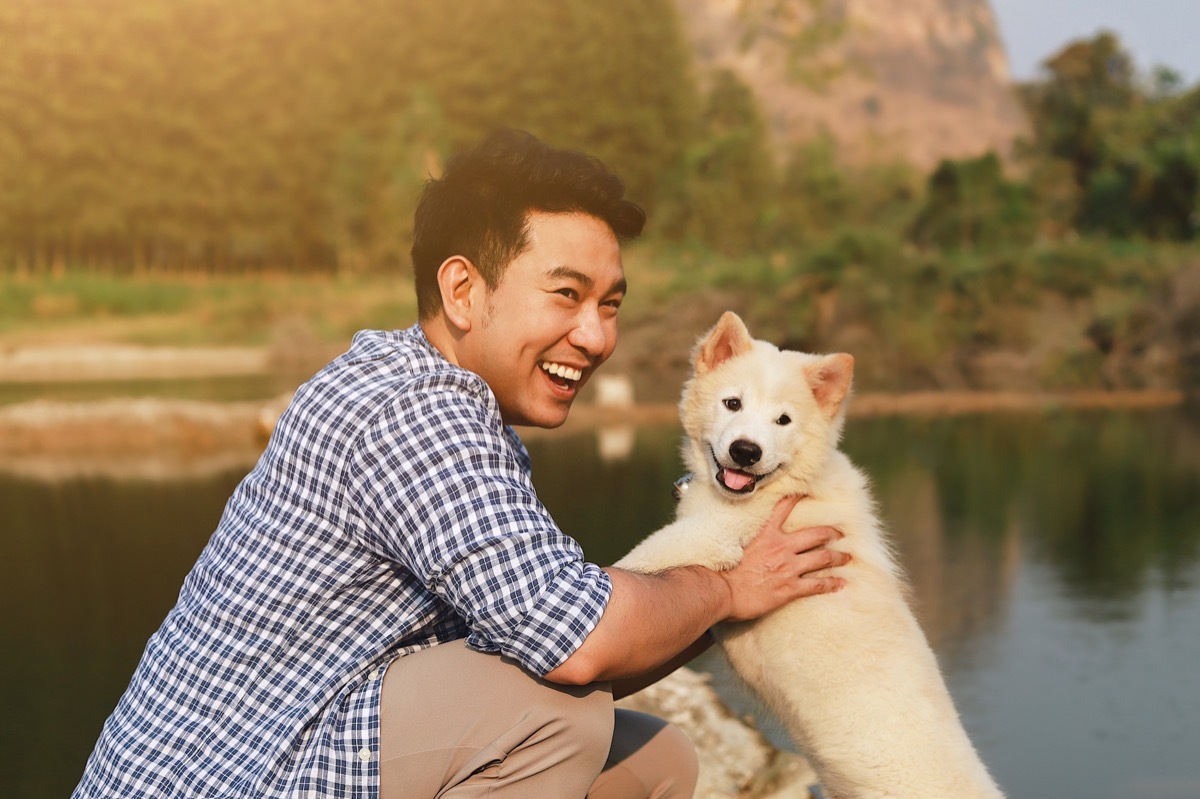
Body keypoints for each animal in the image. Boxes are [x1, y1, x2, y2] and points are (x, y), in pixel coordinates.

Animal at [609, 311, 1003, 796]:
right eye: (732, 403)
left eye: (783, 420)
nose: (746, 452)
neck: (787, 485)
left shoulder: (709, 536)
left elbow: (630, 566)